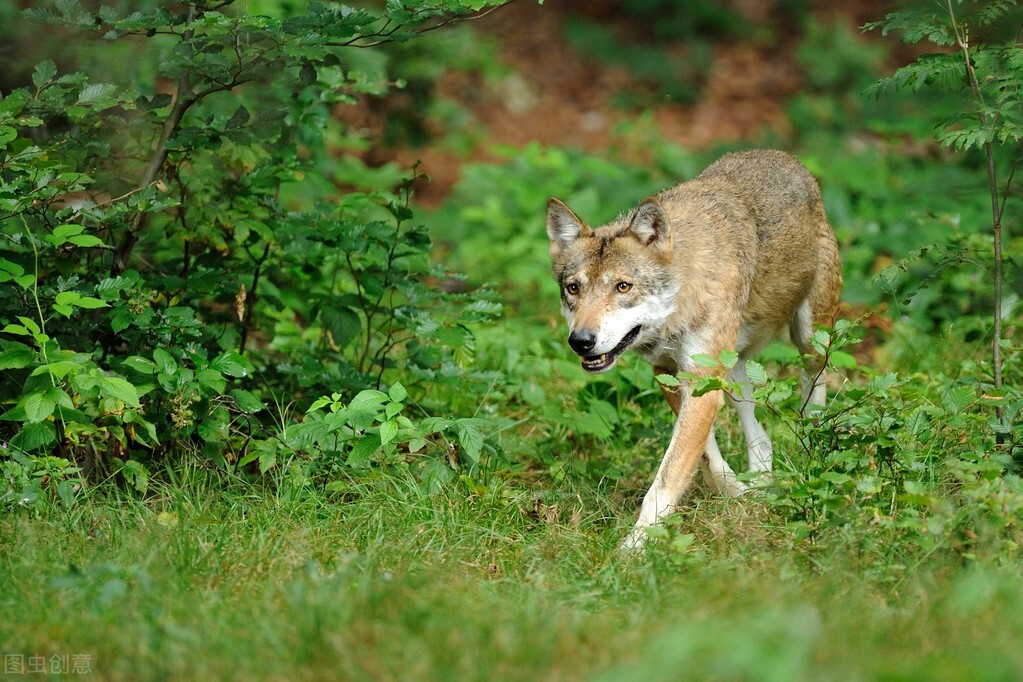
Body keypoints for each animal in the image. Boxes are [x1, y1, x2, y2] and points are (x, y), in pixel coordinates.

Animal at [545, 149, 842, 550]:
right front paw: (739, 498)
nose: (581, 341)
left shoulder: (700, 384)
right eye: (573, 289)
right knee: (761, 437)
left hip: (811, 339)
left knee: (815, 390)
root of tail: (786, 158)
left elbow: (665, 479)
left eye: (623, 286)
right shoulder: (670, 375)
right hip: (732, 371)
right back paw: (761, 482)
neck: (680, 302)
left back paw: (813, 450)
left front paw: (633, 550)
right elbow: (704, 458)